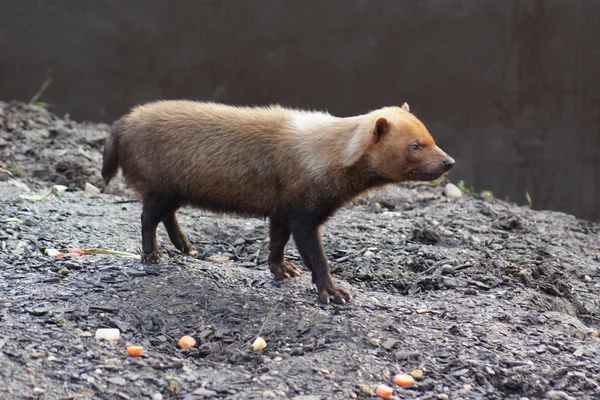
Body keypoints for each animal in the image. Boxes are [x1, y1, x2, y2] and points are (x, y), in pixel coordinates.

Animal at [102, 101, 454, 304]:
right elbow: (315, 256)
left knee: (167, 215)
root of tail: (122, 123)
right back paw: (152, 254)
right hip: (162, 187)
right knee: (148, 216)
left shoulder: (282, 209)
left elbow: (277, 242)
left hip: (176, 189)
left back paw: (184, 245)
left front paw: (282, 269)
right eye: (414, 145)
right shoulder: (303, 212)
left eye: (431, 137)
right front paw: (333, 293)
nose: (448, 161)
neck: (323, 154)